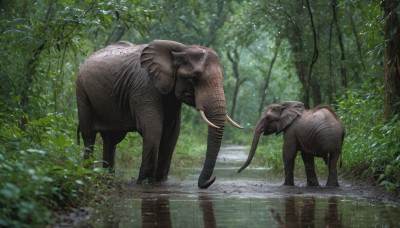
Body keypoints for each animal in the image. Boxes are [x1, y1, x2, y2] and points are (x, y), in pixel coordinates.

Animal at [76, 39, 242, 189]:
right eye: (194, 77)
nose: (209, 181)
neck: (182, 49)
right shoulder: (144, 87)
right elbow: (153, 129)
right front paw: (142, 184)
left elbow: (171, 134)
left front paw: (159, 183)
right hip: (81, 91)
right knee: (89, 136)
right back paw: (88, 175)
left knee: (111, 140)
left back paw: (109, 178)